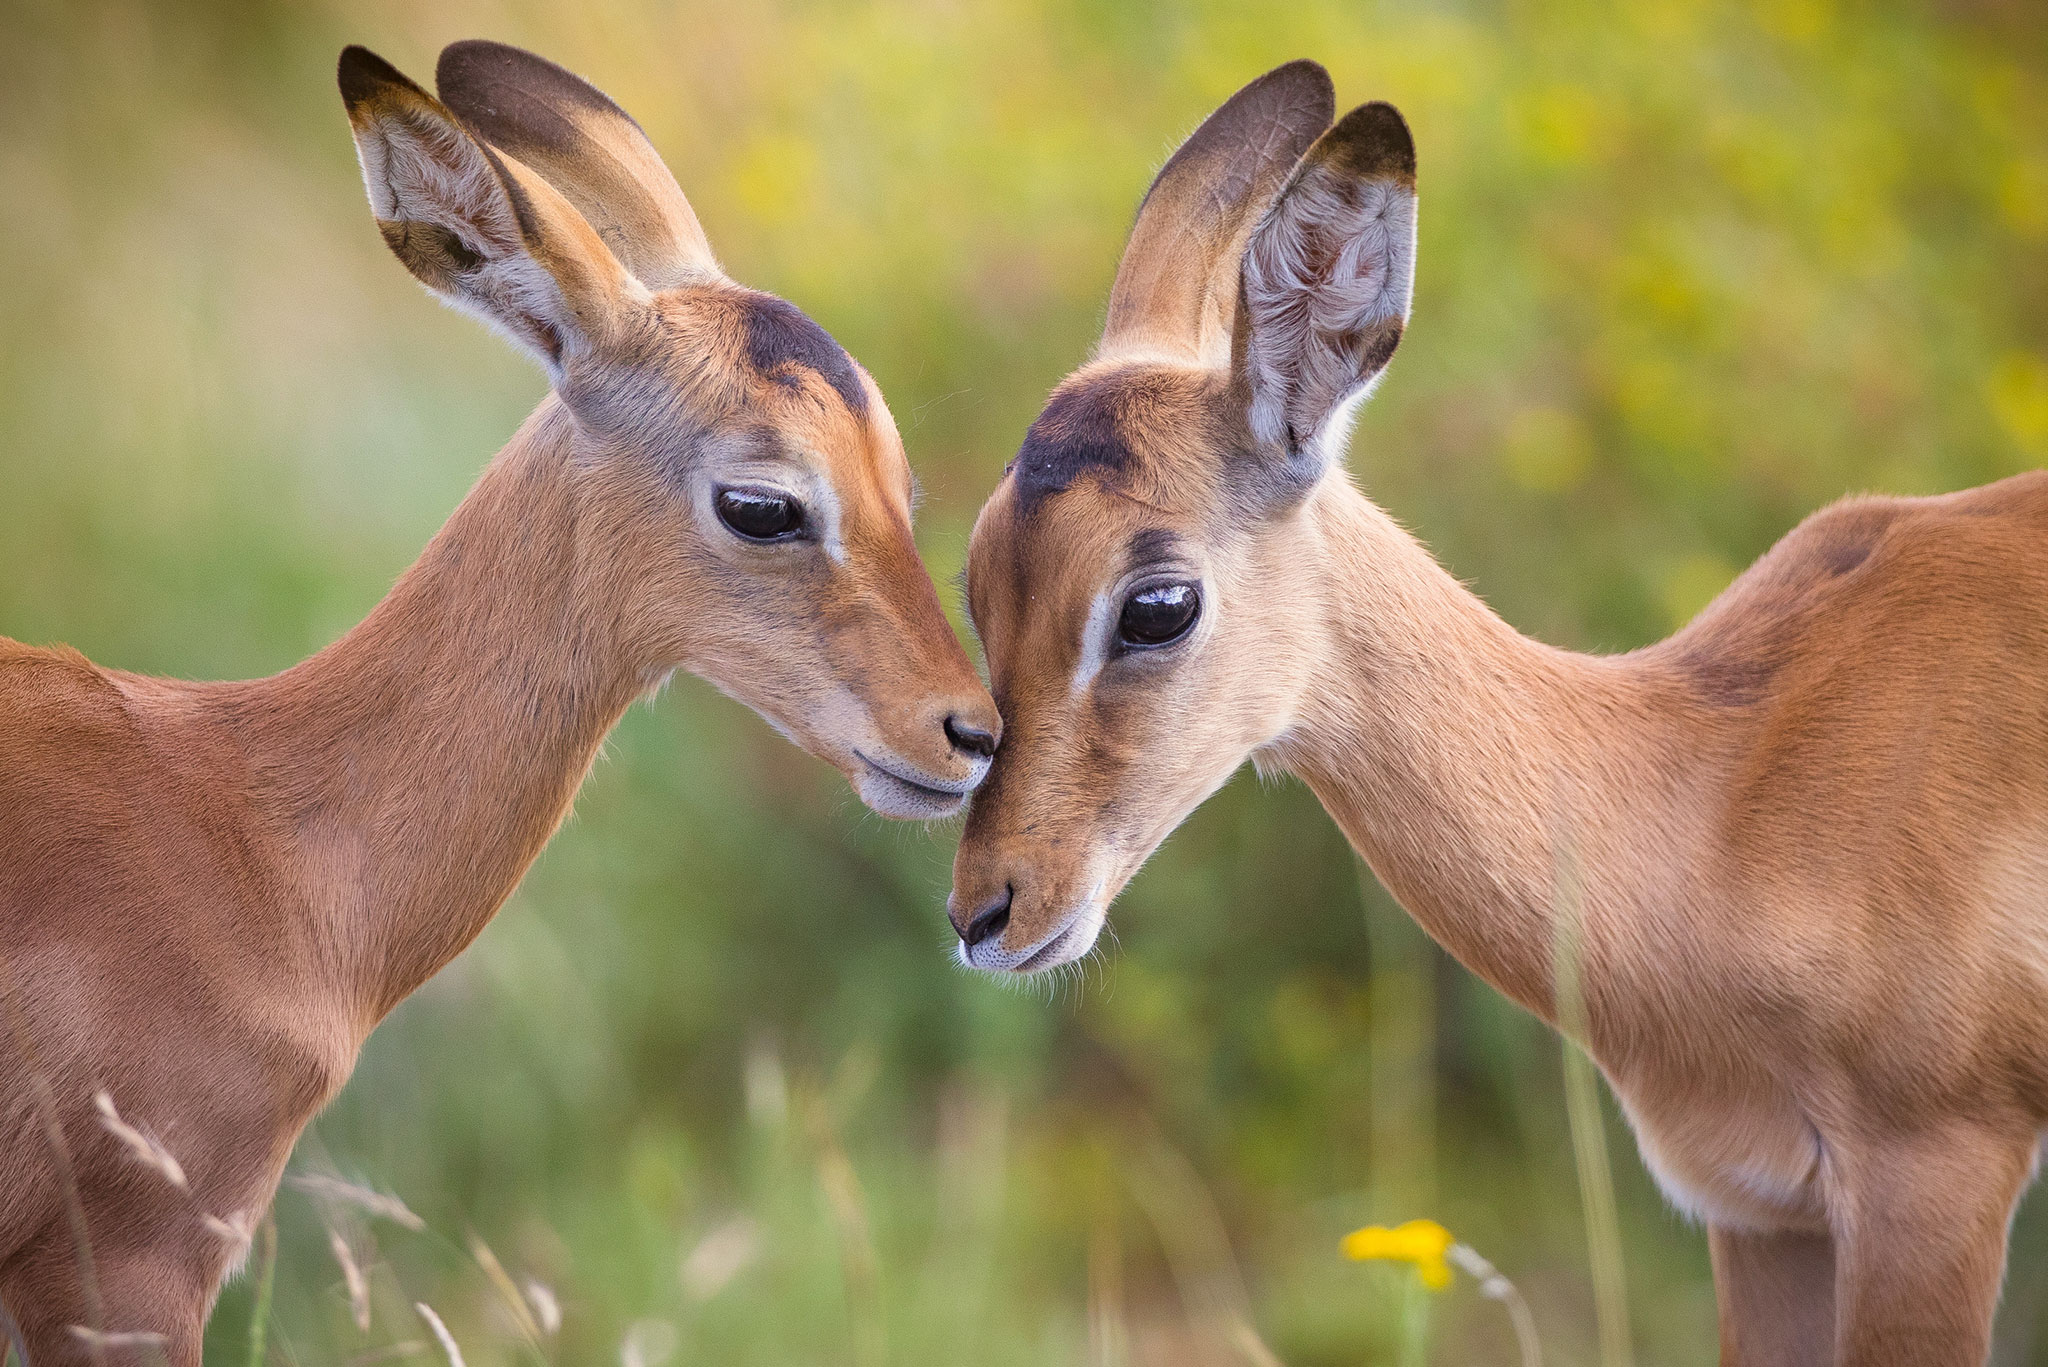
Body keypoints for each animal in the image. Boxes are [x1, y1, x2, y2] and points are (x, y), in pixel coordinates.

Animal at [950, 64, 2048, 1367]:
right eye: (973, 581)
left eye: (1156, 603)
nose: (986, 910)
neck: (1718, 795)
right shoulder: (1760, 1213)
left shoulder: (1930, 1180)